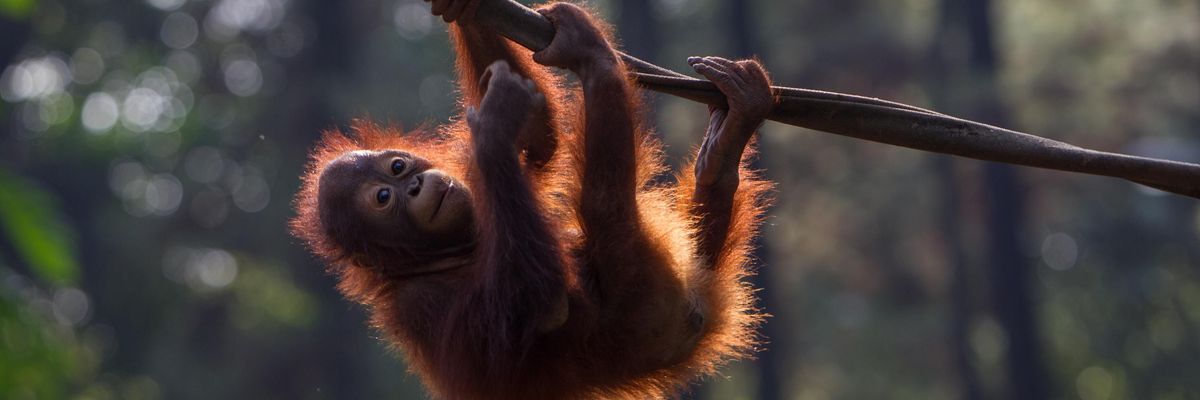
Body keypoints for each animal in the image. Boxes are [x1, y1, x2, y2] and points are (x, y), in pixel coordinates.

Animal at [290, 2, 775, 398]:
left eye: (396, 168)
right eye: (383, 199)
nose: (413, 188)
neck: (449, 250)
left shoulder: (469, 177)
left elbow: (537, 141)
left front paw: (465, 9)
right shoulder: (419, 304)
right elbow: (540, 301)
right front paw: (493, 126)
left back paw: (729, 137)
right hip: (651, 296)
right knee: (603, 205)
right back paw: (592, 55)